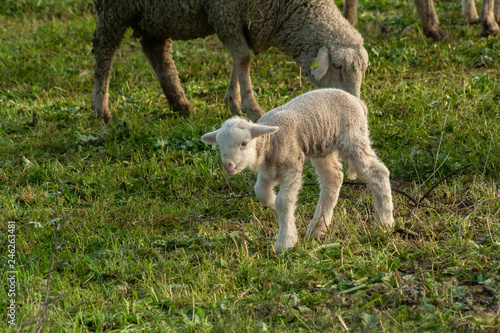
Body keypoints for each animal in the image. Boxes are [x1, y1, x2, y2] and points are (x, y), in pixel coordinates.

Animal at [92, 0, 370, 123]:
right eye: (337, 67)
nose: (356, 108)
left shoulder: (240, 20)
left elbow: (238, 60)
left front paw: (233, 101)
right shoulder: (224, 12)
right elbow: (243, 58)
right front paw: (252, 107)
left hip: (155, 15)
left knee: (156, 52)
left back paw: (180, 104)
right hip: (114, 9)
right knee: (104, 51)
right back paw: (101, 109)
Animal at [200, 88, 394, 252]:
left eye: (244, 144)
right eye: (219, 146)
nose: (228, 166)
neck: (269, 144)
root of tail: (359, 102)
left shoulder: (292, 166)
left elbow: (283, 201)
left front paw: (285, 242)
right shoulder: (267, 172)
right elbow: (261, 193)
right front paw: (279, 216)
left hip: (352, 138)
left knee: (378, 173)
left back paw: (384, 223)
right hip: (322, 147)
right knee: (333, 178)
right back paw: (317, 228)